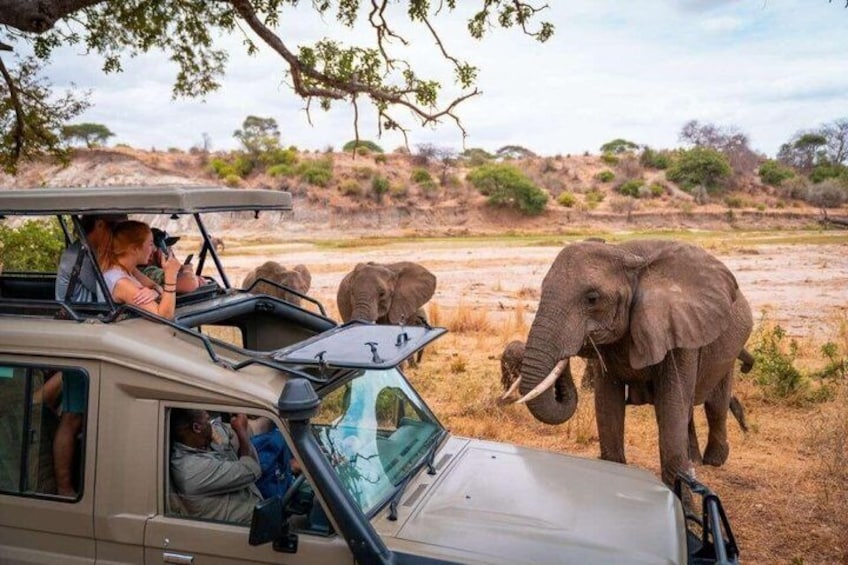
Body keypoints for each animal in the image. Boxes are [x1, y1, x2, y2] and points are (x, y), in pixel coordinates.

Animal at [514, 239, 753, 487]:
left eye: (592, 298)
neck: (627, 254)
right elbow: (608, 405)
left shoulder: (680, 330)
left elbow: (671, 407)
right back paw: (695, 460)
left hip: (729, 349)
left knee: (715, 404)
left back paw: (714, 461)